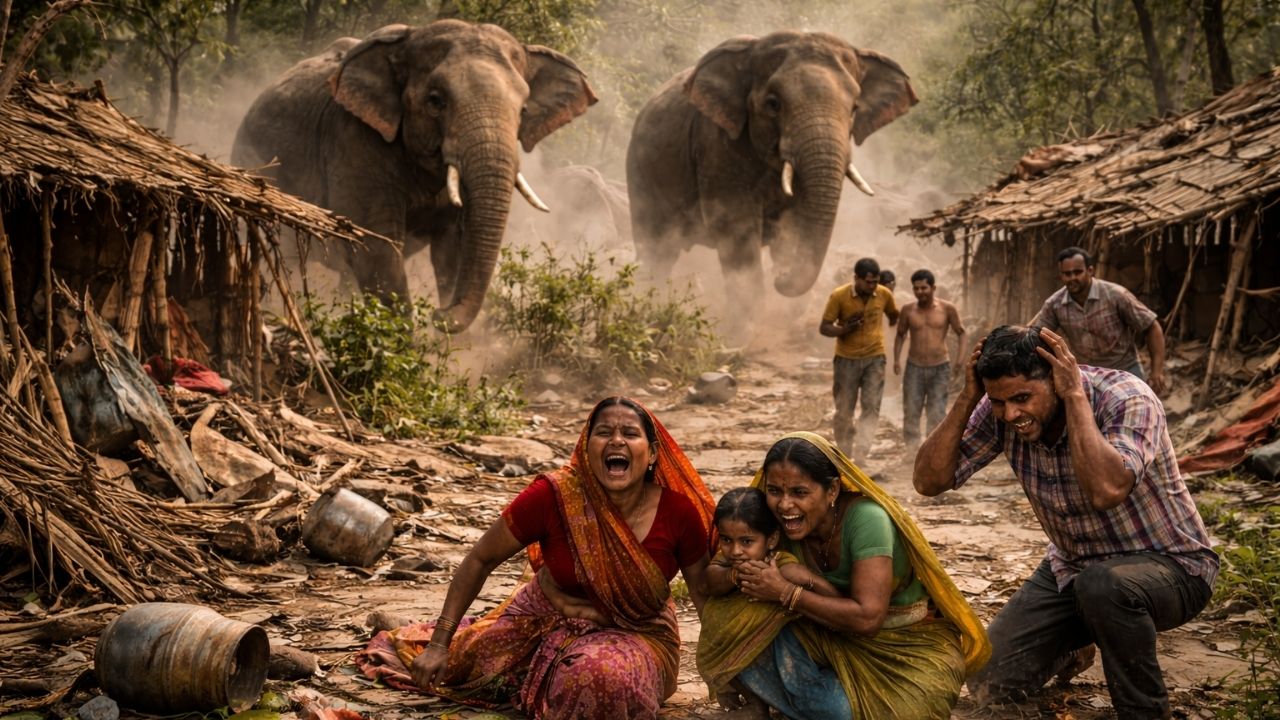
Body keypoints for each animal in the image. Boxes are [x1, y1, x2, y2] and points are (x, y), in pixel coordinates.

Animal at [232, 20, 597, 330]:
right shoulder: (354, 141)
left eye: (523, 110)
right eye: (436, 101)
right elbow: (377, 246)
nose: (439, 314)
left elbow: (453, 249)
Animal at [626, 31, 916, 312]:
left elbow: (794, 226)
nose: (781, 277)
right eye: (773, 104)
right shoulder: (716, 144)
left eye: (855, 108)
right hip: (640, 174)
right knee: (657, 251)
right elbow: (735, 224)